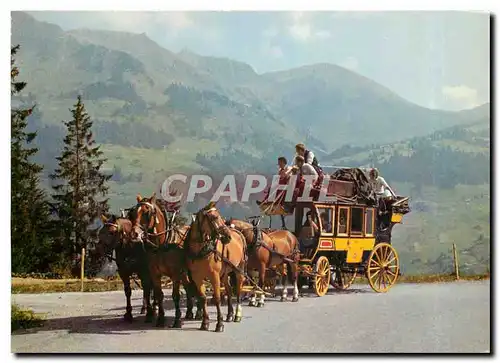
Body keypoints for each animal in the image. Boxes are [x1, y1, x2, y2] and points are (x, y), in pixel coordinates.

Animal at [129, 193, 199, 330]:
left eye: (147, 212)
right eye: (133, 213)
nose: (134, 234)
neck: (162, 245)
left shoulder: (175, 274)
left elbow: (175, 295)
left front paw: (177, 320)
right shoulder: (154, 273)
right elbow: (159, 294)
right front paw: (160, 319)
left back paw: (199, 312)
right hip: (184, 273)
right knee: (188, 287)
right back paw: (189, 312)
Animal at [185, 202, 247, 332]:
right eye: (214, 217)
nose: (228, 236)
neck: (200, 251)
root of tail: (238, 232)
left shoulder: (214, 276)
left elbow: (217, 298)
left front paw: (219, 323)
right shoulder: (197, 277)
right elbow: (203, 298)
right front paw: (205, 322)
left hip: (239, 268)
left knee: (238, 289)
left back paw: (237, 315)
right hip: (224, 273)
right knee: (229, 290)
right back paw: (229, 314)